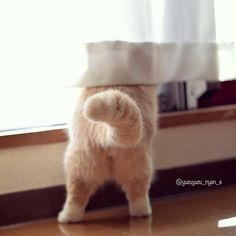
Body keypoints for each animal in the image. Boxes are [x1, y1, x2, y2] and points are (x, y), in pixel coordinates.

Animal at [57, 85, 157, 223]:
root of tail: (105, 131)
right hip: (136, 167)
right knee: (137, 194)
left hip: (77, 166)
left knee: (75, 196)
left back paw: (65, 217)